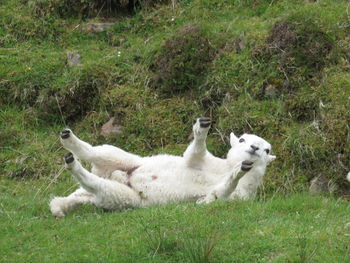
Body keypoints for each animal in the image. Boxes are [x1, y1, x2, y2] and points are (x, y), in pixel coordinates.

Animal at [50, 118, 276, 218]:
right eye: (242, 139)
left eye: (267, 149)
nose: (254, 148)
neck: (225, 167)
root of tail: (118, 176)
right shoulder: (208, 161)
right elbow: (195, 154)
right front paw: (201, 127)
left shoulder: (241, 196)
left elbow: (214, 196)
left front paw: (240, 170)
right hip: (129, 159)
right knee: (98, 152)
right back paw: (69, 141)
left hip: (126, 197)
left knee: (94, 188)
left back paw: (62, 197)